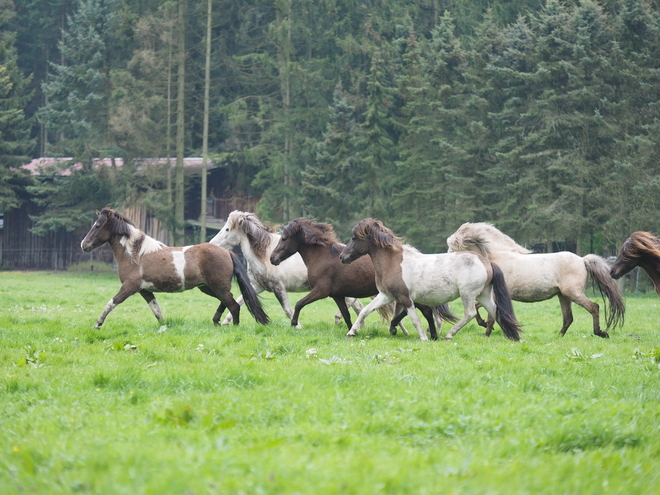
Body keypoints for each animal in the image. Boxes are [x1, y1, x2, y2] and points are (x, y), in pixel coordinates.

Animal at [80, 208, 270, 330]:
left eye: (97, 226)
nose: (84, 245)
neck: (135, 254)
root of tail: (228, 252)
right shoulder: (145, 290)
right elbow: (157, 311)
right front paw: (165, 326)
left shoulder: (129, 287)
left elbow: (111, 303)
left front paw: (97, 324)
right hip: (208, 288)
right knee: (227, 302)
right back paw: (216, 321)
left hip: (217, 287)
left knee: (233, 305)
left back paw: (233, 327)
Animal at [209, 211, 364, 328]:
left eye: (227, 229)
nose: (211, 244)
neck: (265, 255)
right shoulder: (258, 286)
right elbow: (241, 299)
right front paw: (226, 321)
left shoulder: (278, 287)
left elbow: (288, 309)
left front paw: (298, 326)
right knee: (357, 305)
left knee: (353, 302)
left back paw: (341, 319)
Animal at [268, 219, 454, 340]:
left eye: (283, 238)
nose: (272, 259)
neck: (323, 257)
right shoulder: (337, 295)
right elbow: (346, 315)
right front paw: (352, 330)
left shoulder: (321, 291)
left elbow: (299, 303)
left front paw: (294, 323)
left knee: (426, 311)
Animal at [340, 219, 520, 342]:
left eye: (354, 238)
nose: (343, 257)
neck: (393, 262)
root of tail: (486, 261)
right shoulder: (386, 296)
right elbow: (365, 311)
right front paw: (351, 333)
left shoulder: (405, 298)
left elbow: (414, 318)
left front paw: (423, 338)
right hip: (483, 295)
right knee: (496, 311)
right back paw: (510, 337)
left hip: (468, 294)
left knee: (470, 313)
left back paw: (449, 335)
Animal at [448, 223, 624, 340]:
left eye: (453, 245)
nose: (447, 257)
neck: (498, 257)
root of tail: (582, 260)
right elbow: (480, 308)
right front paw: (485, 326)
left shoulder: (495, 295)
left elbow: (488, 312)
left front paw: (487, 332)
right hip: (563, 296)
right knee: (568, 318)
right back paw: (558, 336)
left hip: (573, 293)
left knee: (594, 307)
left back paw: (600, 332)